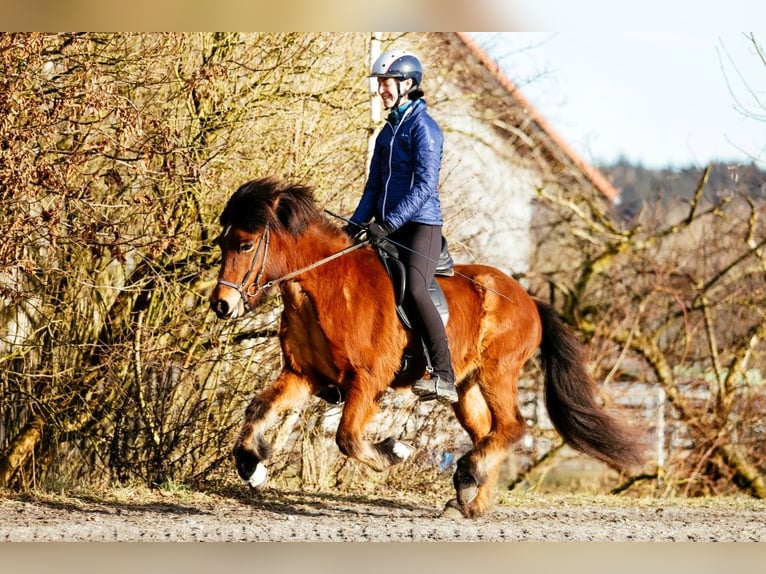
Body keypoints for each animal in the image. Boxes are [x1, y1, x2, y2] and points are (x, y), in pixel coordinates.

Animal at [210, 178, 648, 520]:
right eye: (222, 242)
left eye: (245, 245)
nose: (222, 305)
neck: (326, 286)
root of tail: (528, 299)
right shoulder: (304, 375)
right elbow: (259, 408)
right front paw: (251, 466)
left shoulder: (368, 379)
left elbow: (347, 438)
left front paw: (393, 451)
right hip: (466, 388)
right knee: (490, 431)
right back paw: (471, 500)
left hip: (498, 373)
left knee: (512, 427)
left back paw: (467, 477)